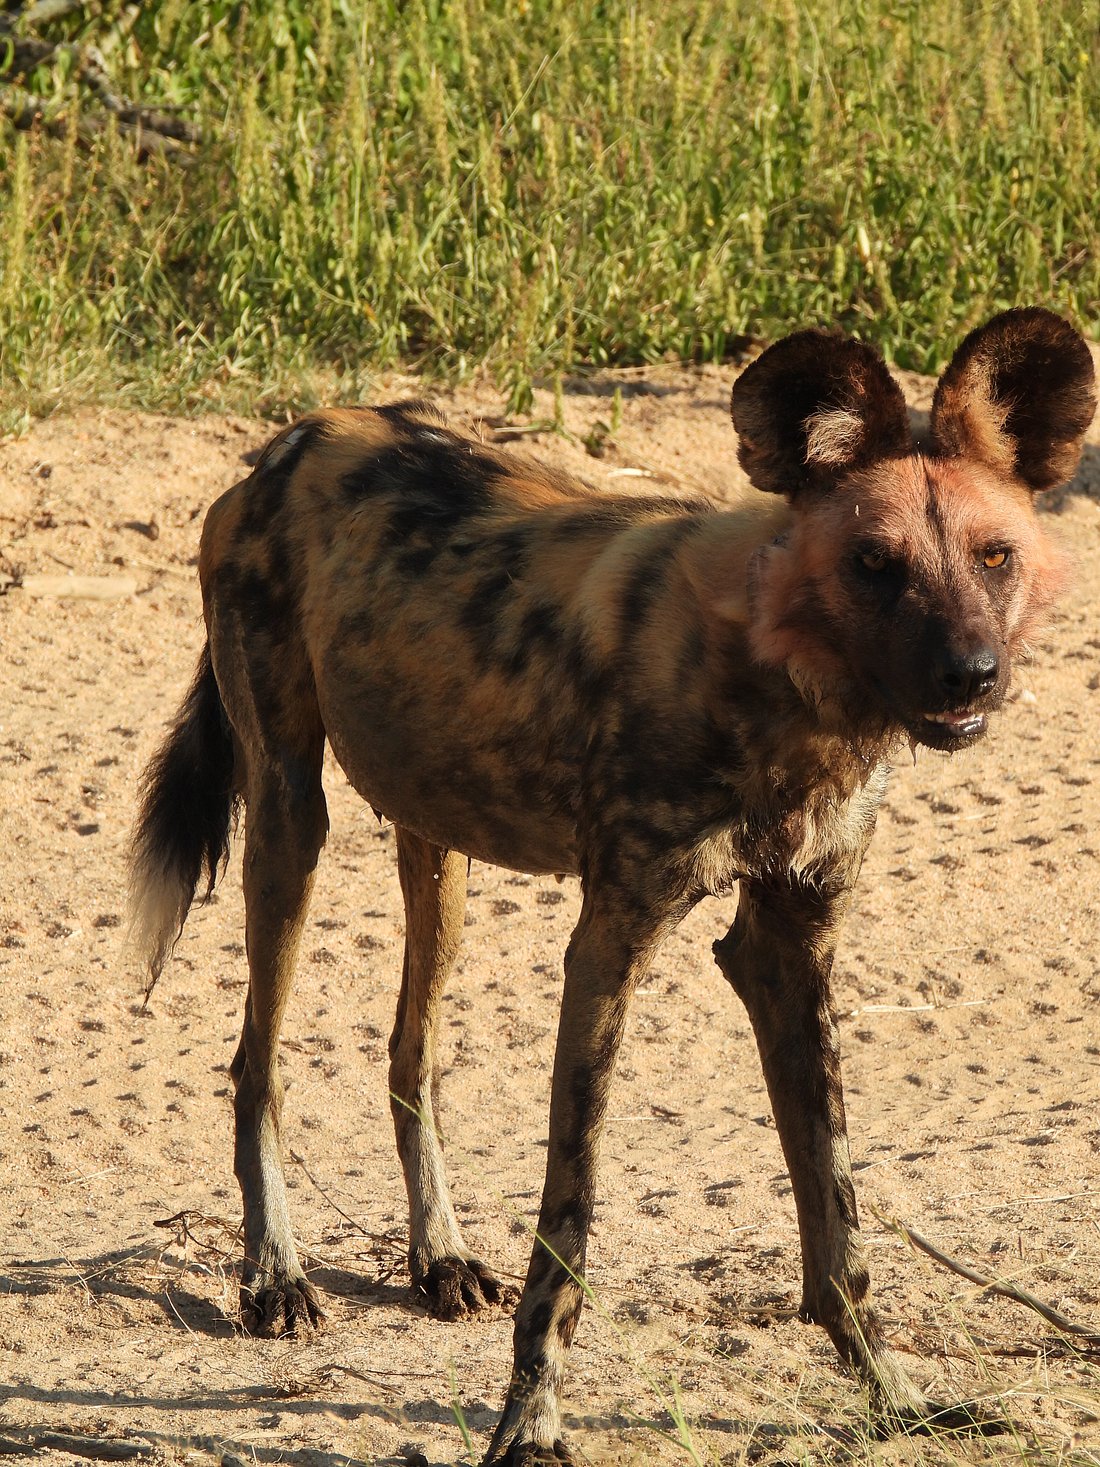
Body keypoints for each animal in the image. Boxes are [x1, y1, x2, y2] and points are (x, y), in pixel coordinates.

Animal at [126, 306, 1097, 1455]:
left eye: (994, 556)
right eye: (873, 562)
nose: (969, 675)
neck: (781, 687)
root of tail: (290, 440)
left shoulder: (788, 945)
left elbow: (836, 1218)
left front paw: (892, 1396)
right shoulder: (610, 944)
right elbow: (570, 1228)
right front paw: (530, 1422)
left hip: (436, 845)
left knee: (413, 1054)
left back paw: (437, 1258)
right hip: (289, 818)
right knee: (257, 1061)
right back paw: (273, 1273)